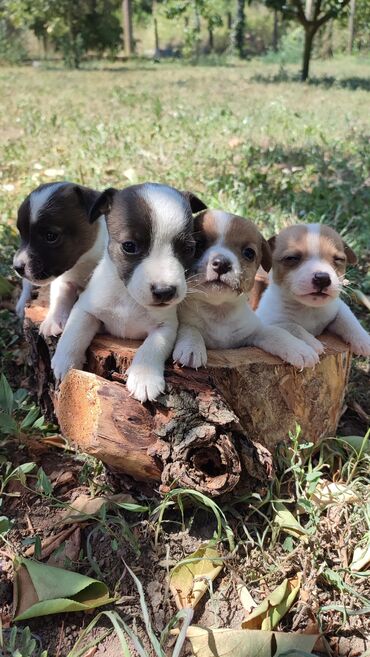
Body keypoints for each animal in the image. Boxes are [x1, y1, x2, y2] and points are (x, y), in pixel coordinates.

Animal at [13, 181, 105, 336]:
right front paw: (52, 321)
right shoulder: (63, 279)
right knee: (26, 283)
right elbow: (59, 297)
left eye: (51, 236)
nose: (17, 267)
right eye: (21, 234)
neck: (84, 260)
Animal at [51, 182, 207, 402]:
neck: (128, 297)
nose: (165, 292)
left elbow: (153, 346)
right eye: (129, 246)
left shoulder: (166, 326)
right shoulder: (86, 308)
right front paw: (65, 361)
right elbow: (74, 332)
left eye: (188, 249)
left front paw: (144, 377)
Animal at [172, 209, 320, 368]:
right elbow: (188, 328)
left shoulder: (255, 331)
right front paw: (191, 346)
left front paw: (299, 348)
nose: (222, 263)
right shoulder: (186, 322)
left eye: (249, 253)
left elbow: (277, 332)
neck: (218, 310)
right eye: (198, 243)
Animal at [256, 223, 370, 356]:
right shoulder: (267, 321)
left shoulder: (336, 307)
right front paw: (312, 343)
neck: (309, 309)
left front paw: (363, 339)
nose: (322, 278)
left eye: (338, 259)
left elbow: (348, 318)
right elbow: (291, 326)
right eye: (291, 258)